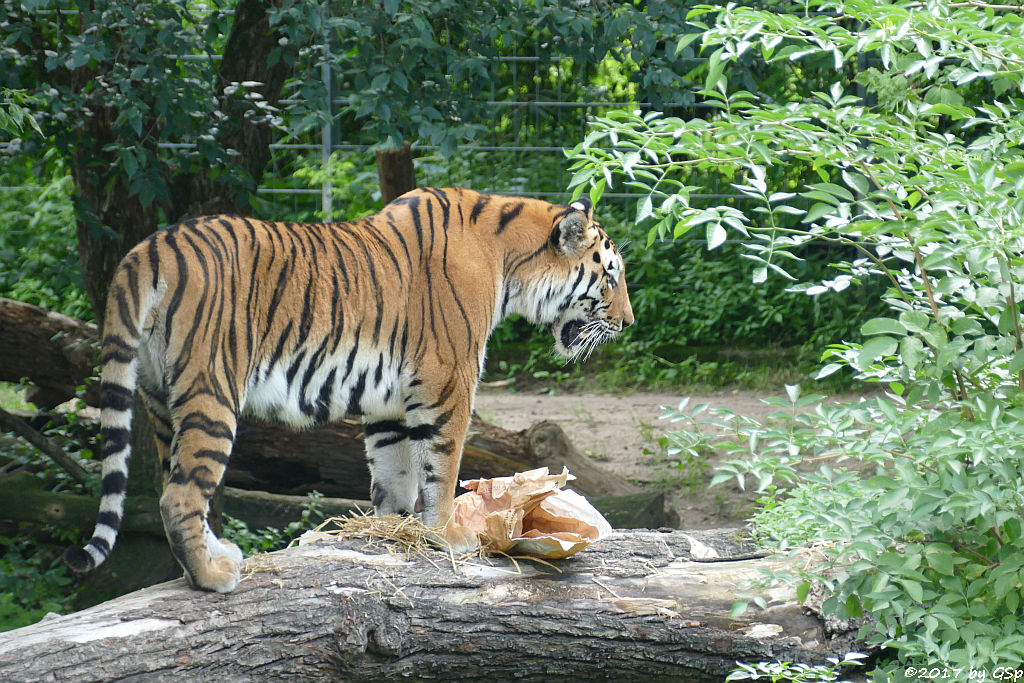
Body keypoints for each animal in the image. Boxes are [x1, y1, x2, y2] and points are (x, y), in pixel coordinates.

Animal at [64, 187, 630, 593]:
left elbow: (395, 470)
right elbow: (442, 466)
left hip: (159, 400)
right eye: (610, 277)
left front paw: (393, 532)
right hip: (212, 392)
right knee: (179, 495)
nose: (627, 322)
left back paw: (202, 564)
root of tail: (148, 248)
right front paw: (448, 536)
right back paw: (213, 578)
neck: (511, 262)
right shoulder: (449, 380)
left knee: (171, 481)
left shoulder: (390, 400)